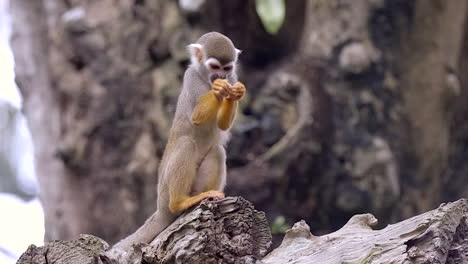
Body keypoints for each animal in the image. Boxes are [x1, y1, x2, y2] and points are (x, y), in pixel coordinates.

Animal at [114, 32, 245, 250]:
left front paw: (236, 92)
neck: (204, 78)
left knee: (218, 150)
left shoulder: (233, 77)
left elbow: (223, 125)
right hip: (164, 191)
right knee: (186, 144)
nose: (221, 77)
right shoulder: (190, 77)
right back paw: (180, 202)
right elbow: (197, 117)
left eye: (227, 69)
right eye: (214, 67)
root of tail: (160, 209)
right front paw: (218, 89)